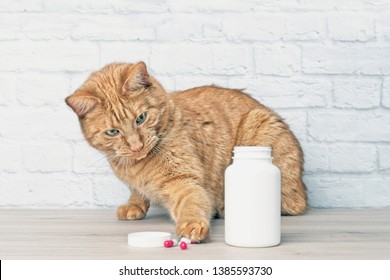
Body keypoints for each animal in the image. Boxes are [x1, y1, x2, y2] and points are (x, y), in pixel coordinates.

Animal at [65, 62, 306, 242]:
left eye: (141, 118)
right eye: (113, 132)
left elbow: (191, 202)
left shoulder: (182, 180)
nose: (136, 146)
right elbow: (137, 192)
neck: (136, 167)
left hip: (260, 128)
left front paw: (192, 225)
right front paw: (134, 205)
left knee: (292, 204)